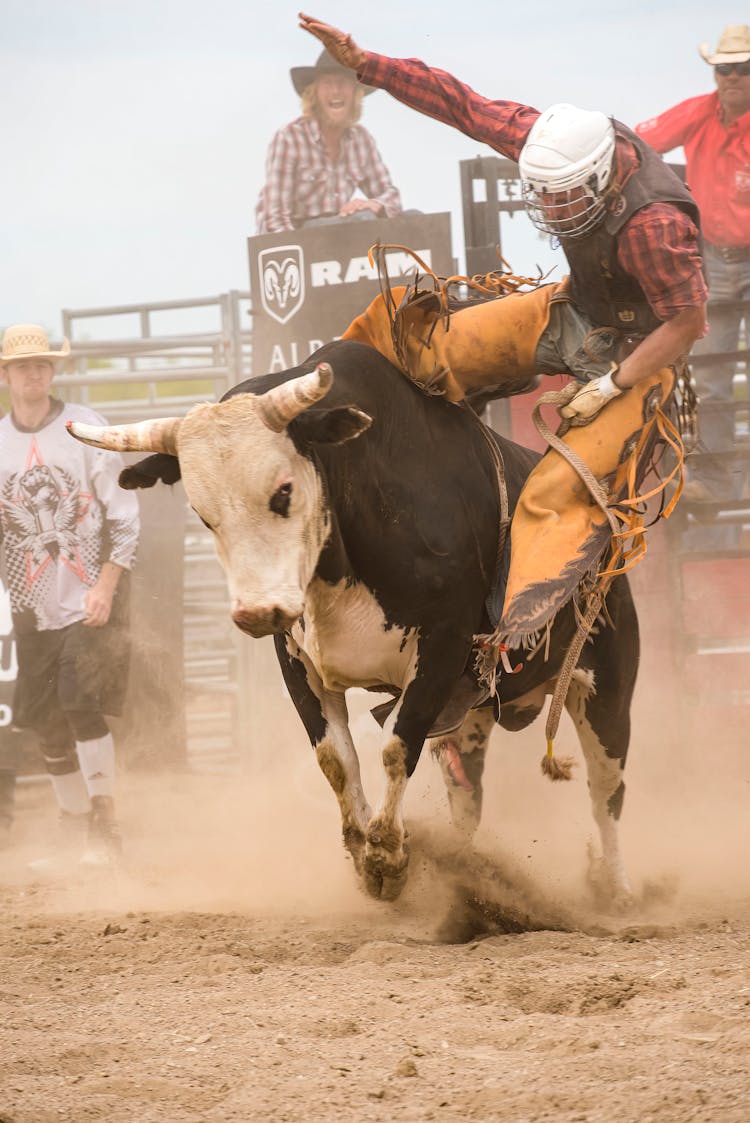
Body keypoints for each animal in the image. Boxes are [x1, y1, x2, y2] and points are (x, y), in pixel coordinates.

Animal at [67, 339, 637, 902]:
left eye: (283, 490)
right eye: (204, 515)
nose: (255, 612)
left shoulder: (441, 649)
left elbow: (396, 746)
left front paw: (387, 854)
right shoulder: (297, 660)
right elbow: (335, 759)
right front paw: (362, 848)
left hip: (607, 688)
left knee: (606, 790)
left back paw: (616, 887)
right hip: (474, 715)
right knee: (467, 796)